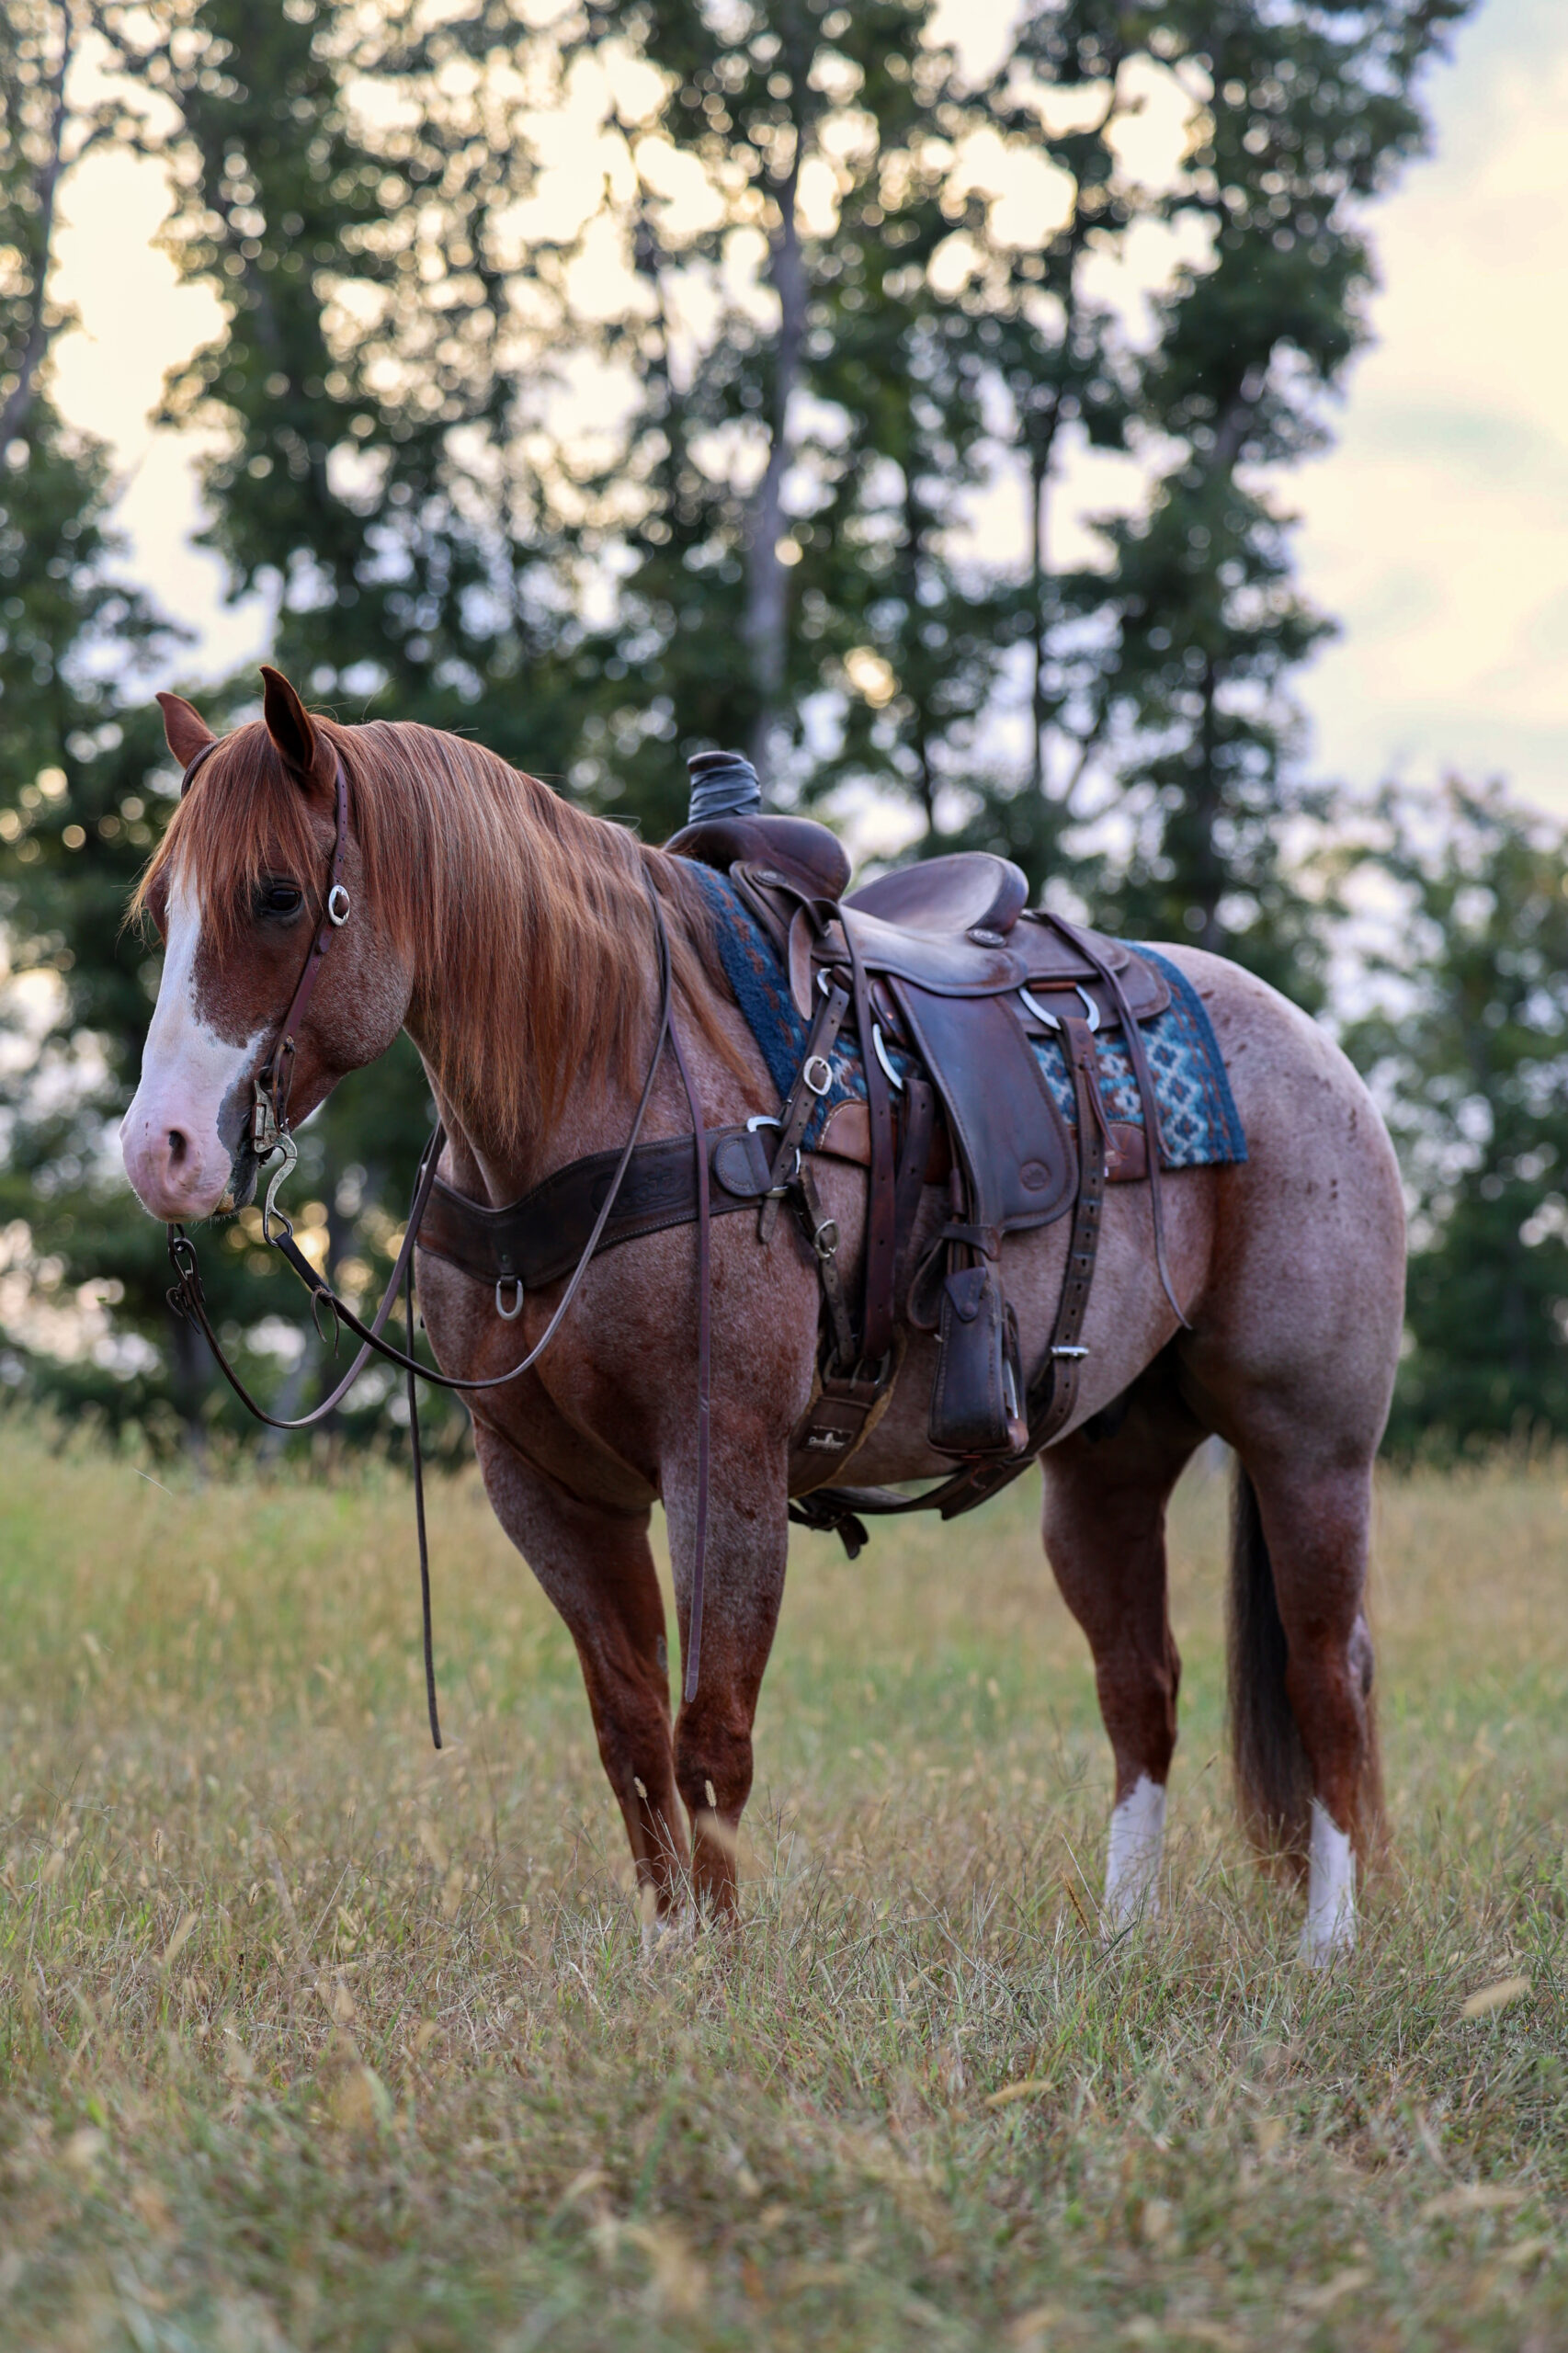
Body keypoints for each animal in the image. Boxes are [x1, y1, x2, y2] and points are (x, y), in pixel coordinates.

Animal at [120, 669, 1406, 1963]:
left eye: (279, 895)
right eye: (162, 911)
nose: (158, 1148)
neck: (599, 1079)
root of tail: (1317, 1053)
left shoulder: (721, 1459)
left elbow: (711, 1735)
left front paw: (720, 1962)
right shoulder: (546, 1484)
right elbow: (629, 1730)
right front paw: (665, 1947)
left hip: (1308, 1446)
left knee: (1324, 1672)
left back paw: (1328, 1942)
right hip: (1103, 1464)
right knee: (1140, 1684)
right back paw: (1121, 1940)